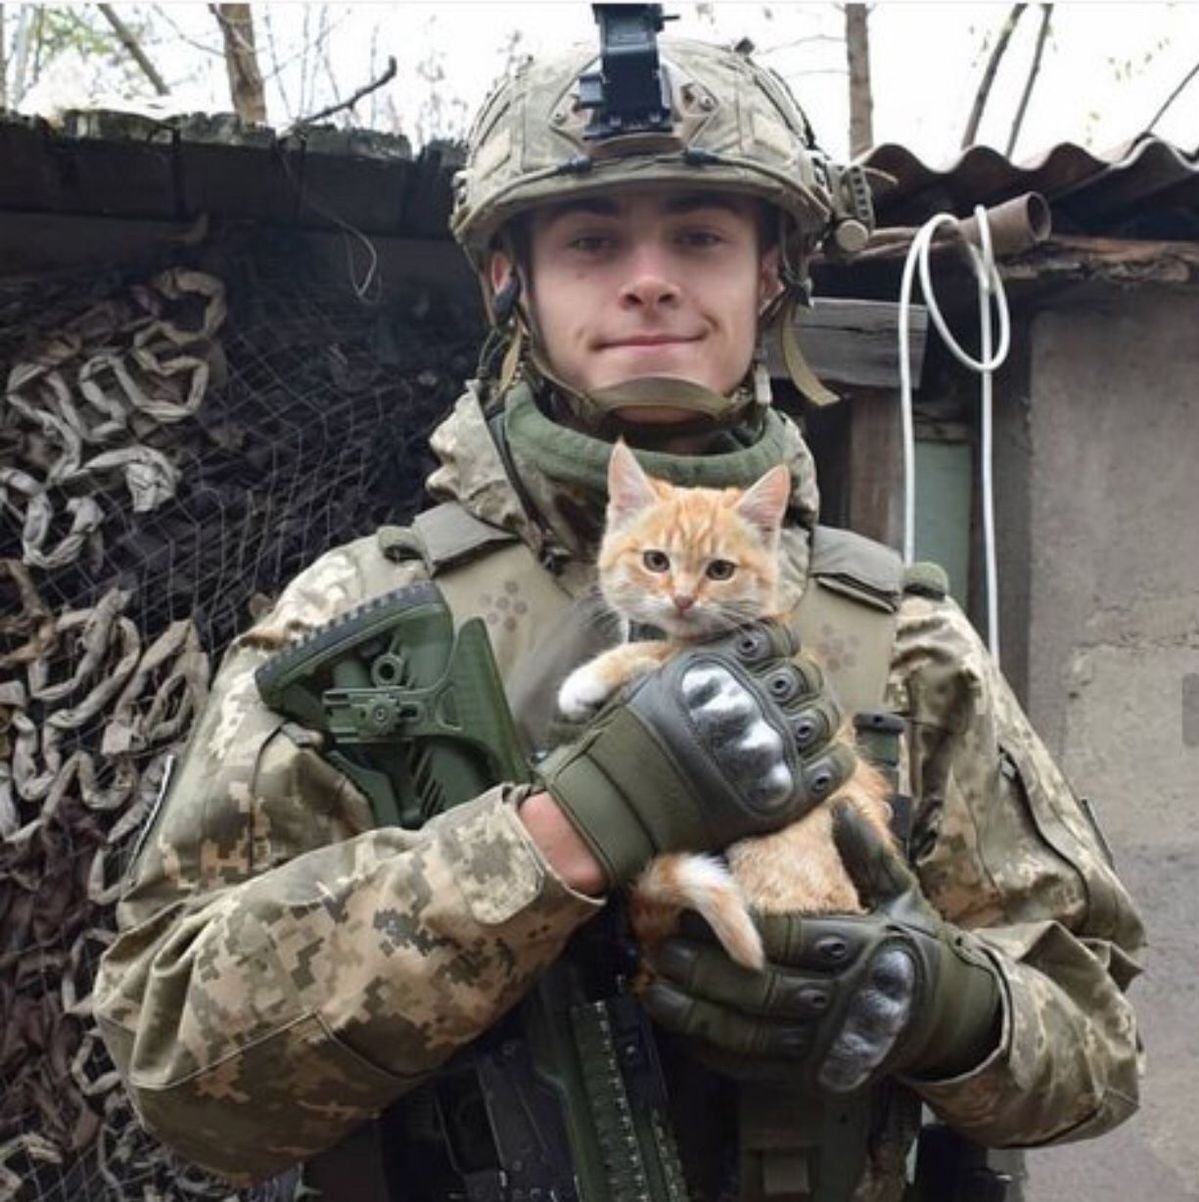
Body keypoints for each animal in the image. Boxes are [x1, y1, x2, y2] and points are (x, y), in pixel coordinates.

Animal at [557, 439, 894, 972]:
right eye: (656, 560)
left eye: (720, 570)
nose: (682, 599)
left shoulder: (698, 651)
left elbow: (651, 650)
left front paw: (584, 680)